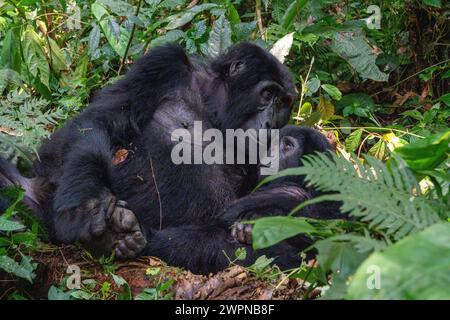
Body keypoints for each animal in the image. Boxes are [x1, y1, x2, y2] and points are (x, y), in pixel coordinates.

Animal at [0, 42, 298, 272]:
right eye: (268, 94)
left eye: (283, 103)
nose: (271, 123)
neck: (215, 105)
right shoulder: (164, 64)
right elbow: (100, 121)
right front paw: (87, 205)